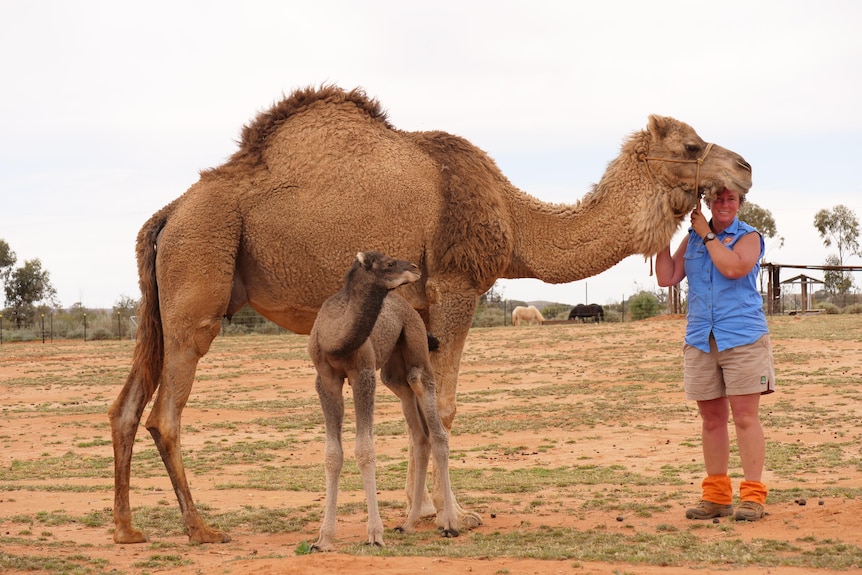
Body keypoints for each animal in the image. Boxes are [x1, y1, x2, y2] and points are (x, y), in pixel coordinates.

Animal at [308, 251, 462, 548]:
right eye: (389, 263)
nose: (415, 268)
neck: (334, 338)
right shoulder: (326, 380)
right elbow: (332, 454)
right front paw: (323, 539)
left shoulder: (364, 374)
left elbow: (365, 449)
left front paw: (374, 534)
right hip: (394, 375)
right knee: (420, 434)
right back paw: (409, 524)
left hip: (417, 347)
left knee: (435, 427)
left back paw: (450, 524)